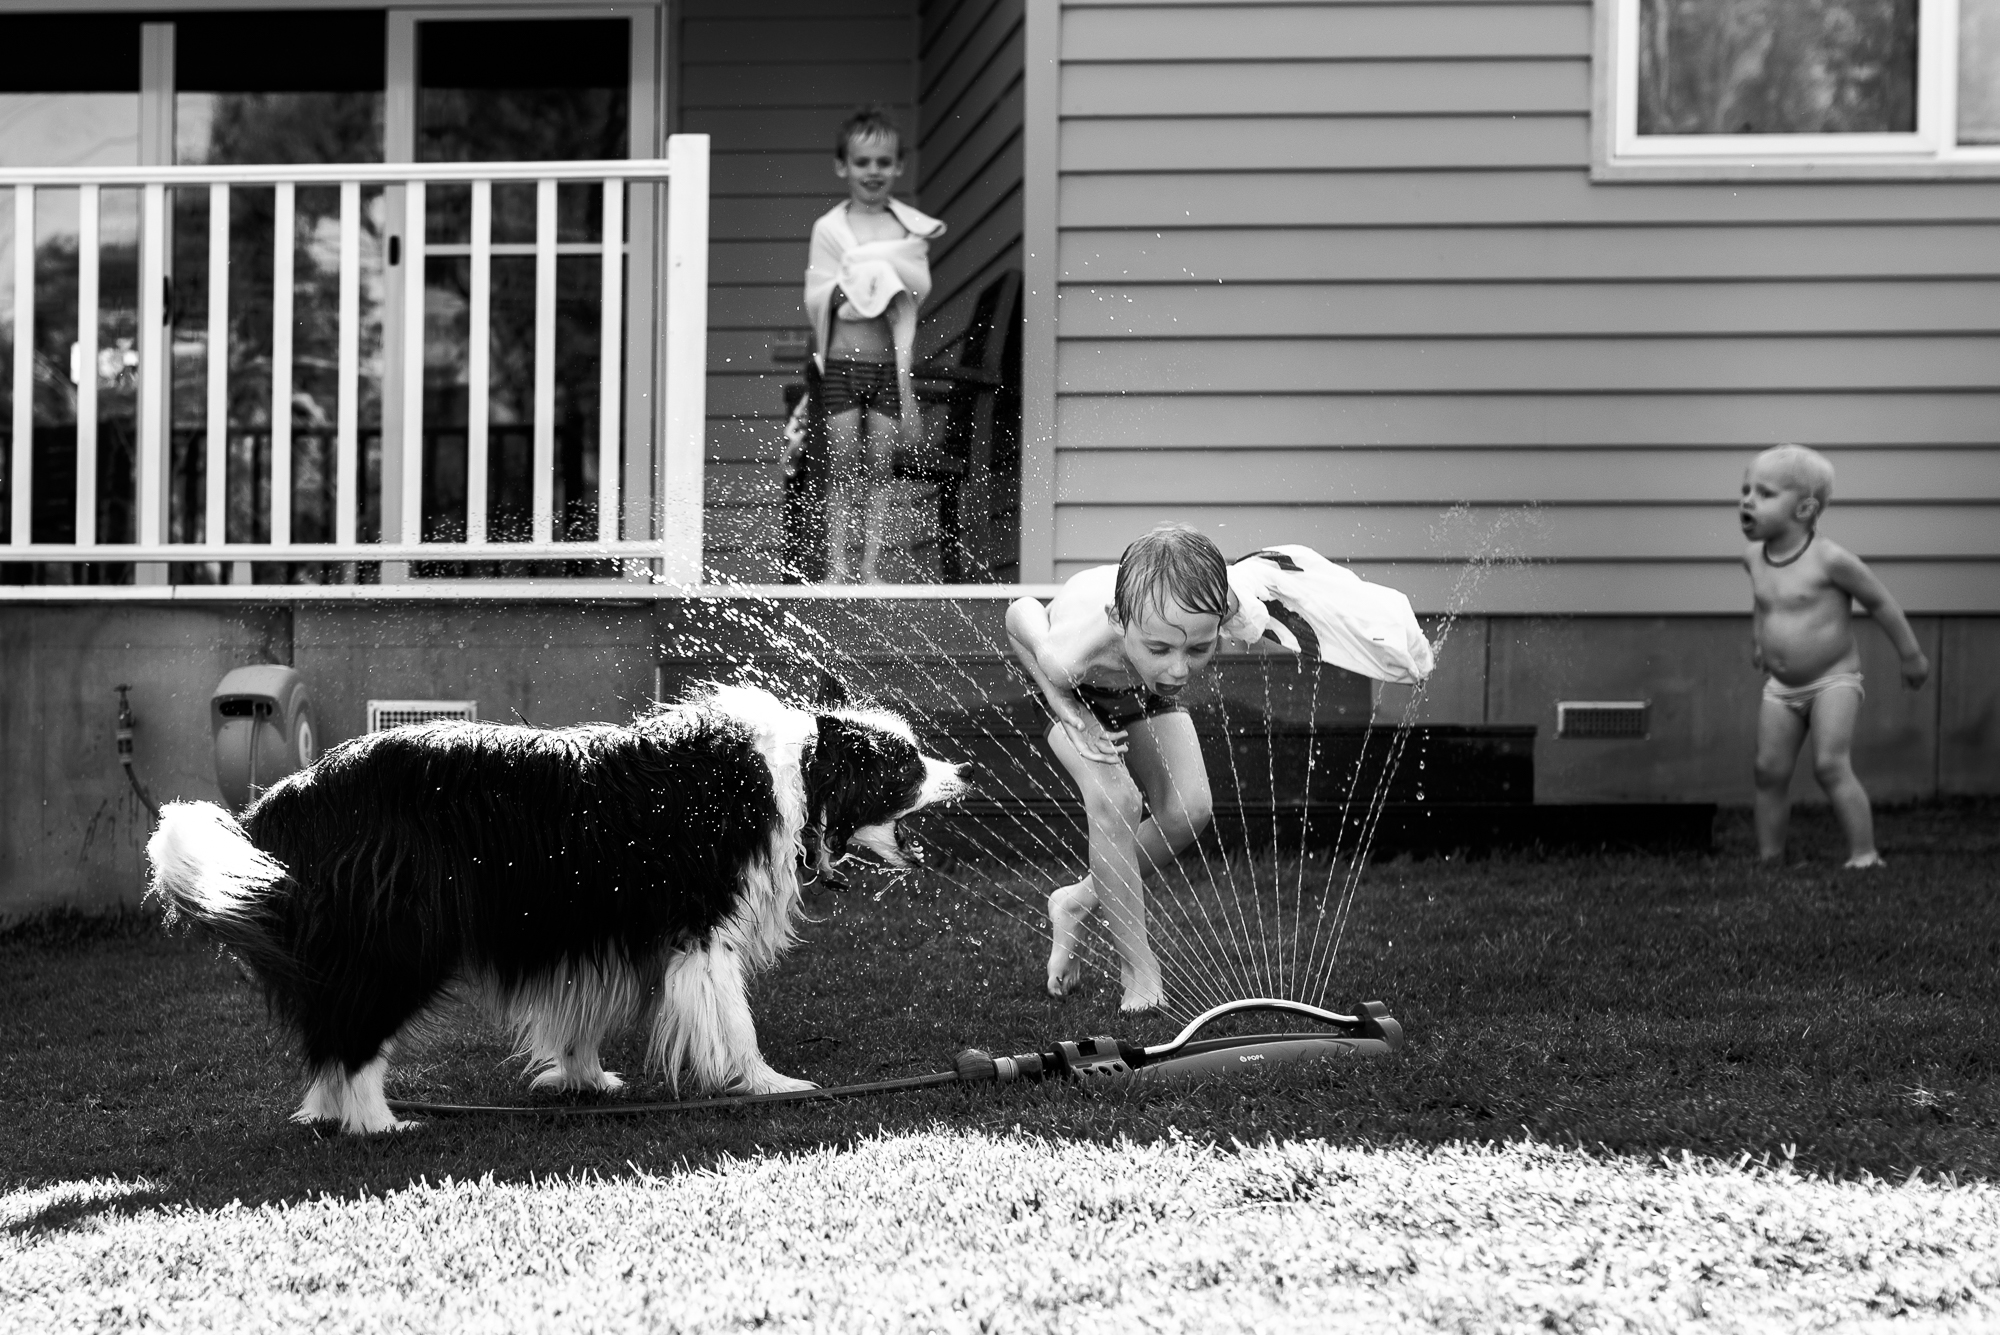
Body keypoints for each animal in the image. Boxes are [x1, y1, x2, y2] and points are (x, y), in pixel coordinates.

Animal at [148, 687, 968, 1135]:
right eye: (905, 762)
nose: (963, 771)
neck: (794, 770)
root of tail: (296, 789)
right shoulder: (702, 930)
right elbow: (734, 1021)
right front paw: (768, 1083)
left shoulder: (585, 926)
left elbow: (580, 1013)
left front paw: (584, 1079)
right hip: (402, 937)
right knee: (354, 1036)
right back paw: (378, 1123)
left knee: (329, 1028)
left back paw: (327, 1113)